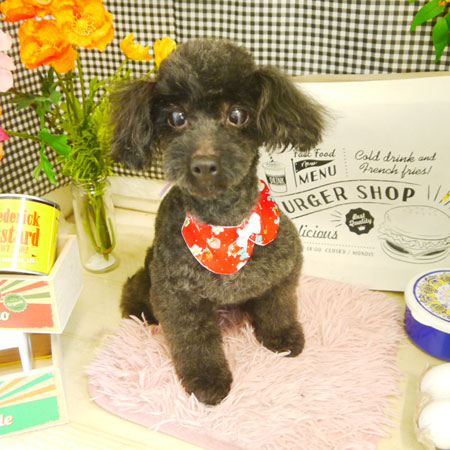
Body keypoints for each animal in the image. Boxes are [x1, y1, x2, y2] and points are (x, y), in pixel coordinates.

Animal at [110, 39, 326, 405]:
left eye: (237, 114)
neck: (225, 228)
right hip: (149, 272)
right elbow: (194, 341)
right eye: (176, 117)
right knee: (134, 291)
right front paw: (207, 380)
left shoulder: (284, 270)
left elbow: (279, 306)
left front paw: (283, 337)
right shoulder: (176, 295)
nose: (204, 164)